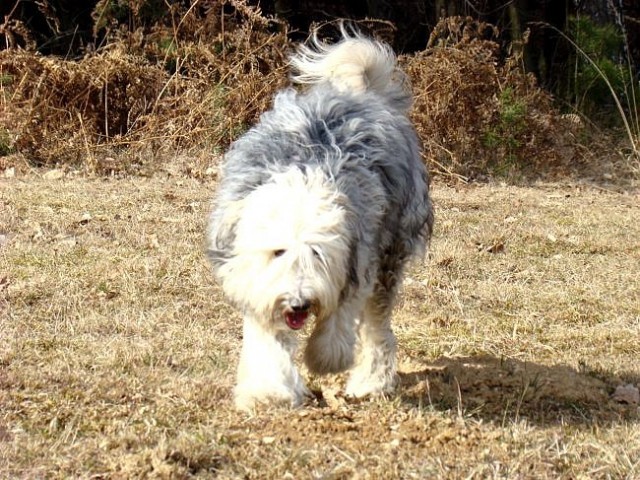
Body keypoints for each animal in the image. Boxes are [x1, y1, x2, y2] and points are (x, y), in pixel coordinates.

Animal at [208, 30, 432, 410]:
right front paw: (269, 390)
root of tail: (363, 95)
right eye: (278, 252)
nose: (299, 303)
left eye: (317, 254)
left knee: (377, 324)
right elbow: (267, 338)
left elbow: (340, 317)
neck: (303, 176)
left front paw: (325, 357)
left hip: (392, 247)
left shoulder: (359, 256)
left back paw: (371, 381)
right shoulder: (251, 279)